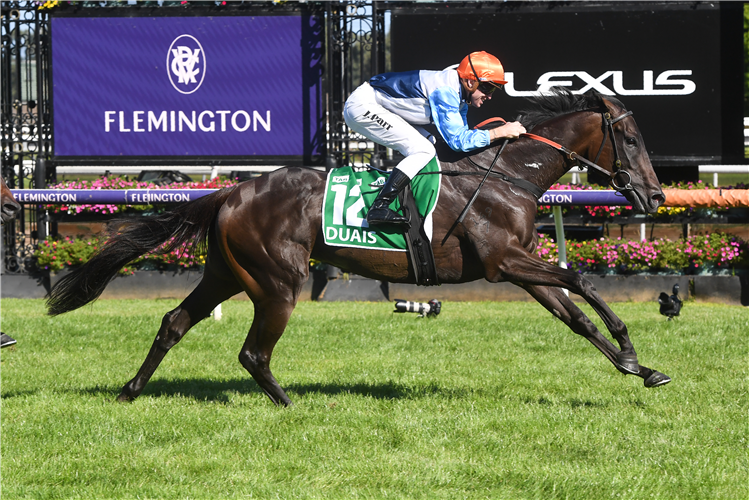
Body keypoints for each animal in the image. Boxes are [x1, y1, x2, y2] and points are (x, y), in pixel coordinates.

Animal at [48, 91, 672, 406]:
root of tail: (230, 190)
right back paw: (290, 405)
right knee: (252, 353)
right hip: (277, 281)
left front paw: (639, 368)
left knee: (175, 322)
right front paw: (632, 348)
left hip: (225, 273)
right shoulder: (505, 263)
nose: (656, 195)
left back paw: (131, 391)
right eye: (631, 138)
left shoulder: (520, 269)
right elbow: (583, 280)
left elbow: (577, 317)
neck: (506, 177)